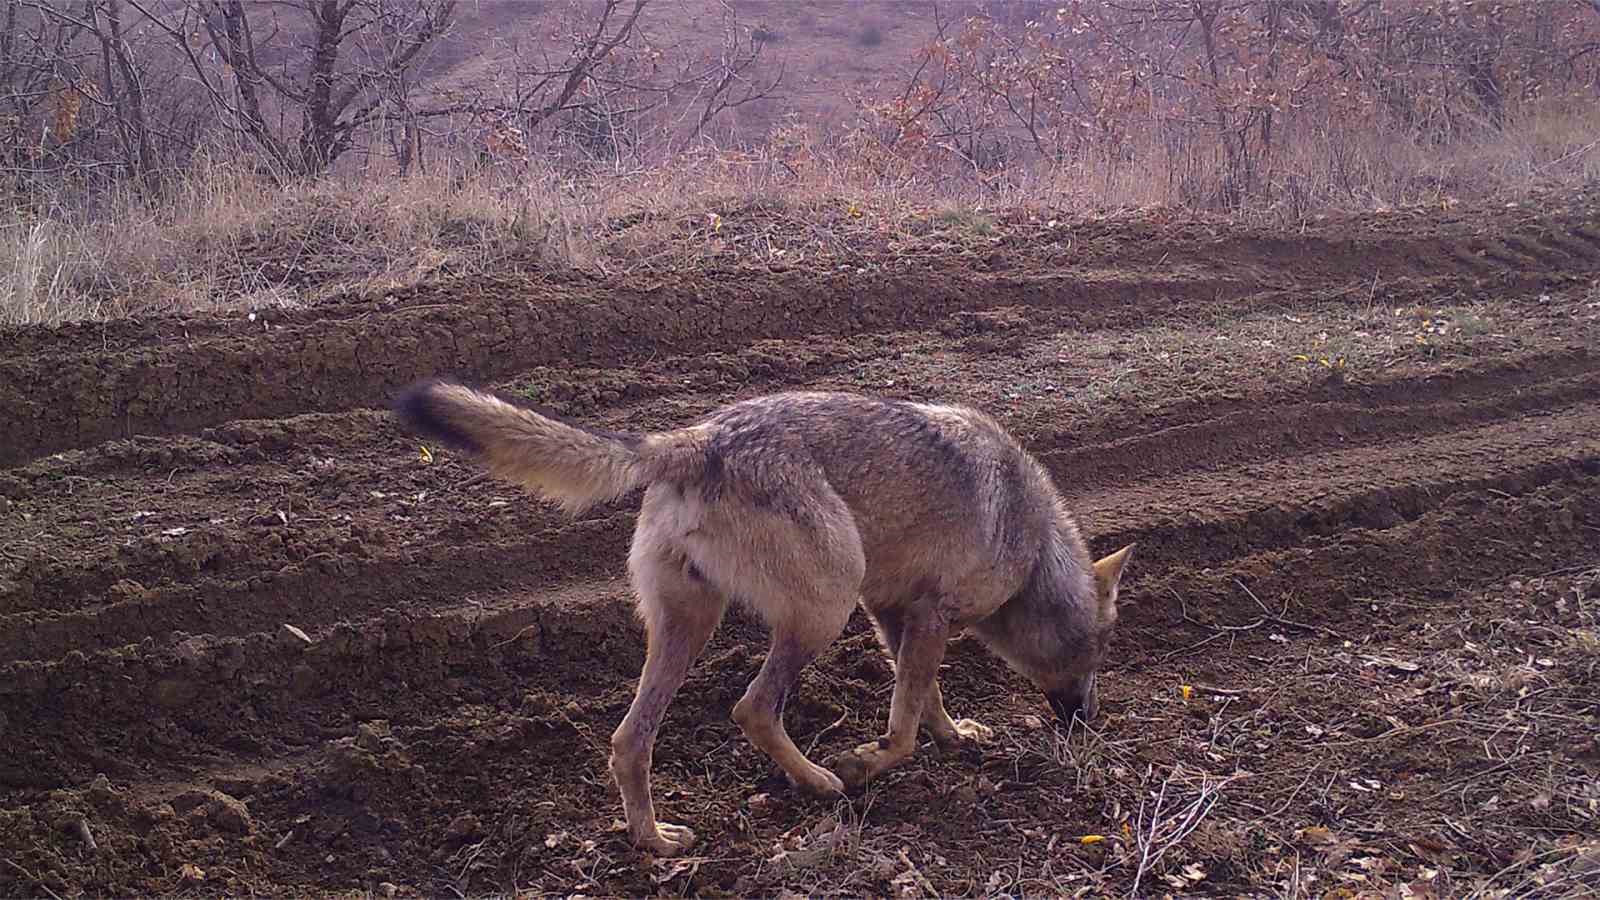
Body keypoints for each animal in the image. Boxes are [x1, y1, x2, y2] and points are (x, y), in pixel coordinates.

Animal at [392, 379, 1132, 851]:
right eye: (1099, 656)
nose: (1088, 723)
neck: (1033, 544)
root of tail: (696, 437)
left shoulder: (898, 614)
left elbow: (925, 700)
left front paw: (955, 738)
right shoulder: (923, 615)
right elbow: (903, 728)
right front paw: (868, 762)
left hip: (692, 629)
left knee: (629, 741)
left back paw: (654, 843)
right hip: (822, 611)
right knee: (750, 707)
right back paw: (821, 783)